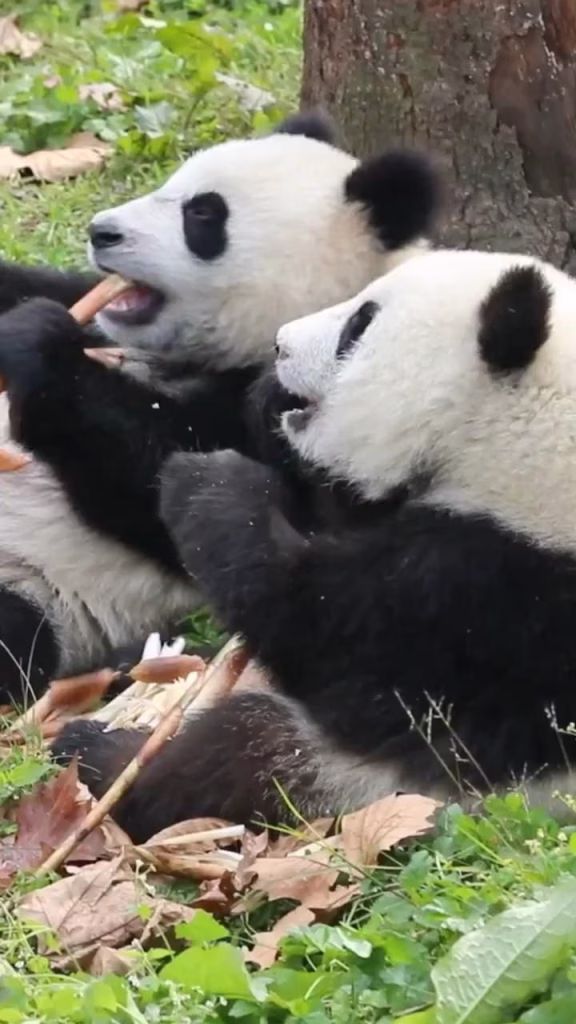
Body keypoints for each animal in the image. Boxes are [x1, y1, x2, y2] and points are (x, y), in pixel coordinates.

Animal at [0, 111, 441, 703]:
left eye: (203, 214)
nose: (101, 232)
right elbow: (36, 287)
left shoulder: (318, 422)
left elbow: (163, 478)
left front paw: (38, 346)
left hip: (43, 594)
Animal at [53, 246, 576, 840]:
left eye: (359, 326)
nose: (278, 344)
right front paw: (264, 402)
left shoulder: (492, 601)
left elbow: (320, 634)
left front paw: (209, 480)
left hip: (388, 789)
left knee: (237, 754)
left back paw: (97, 754)